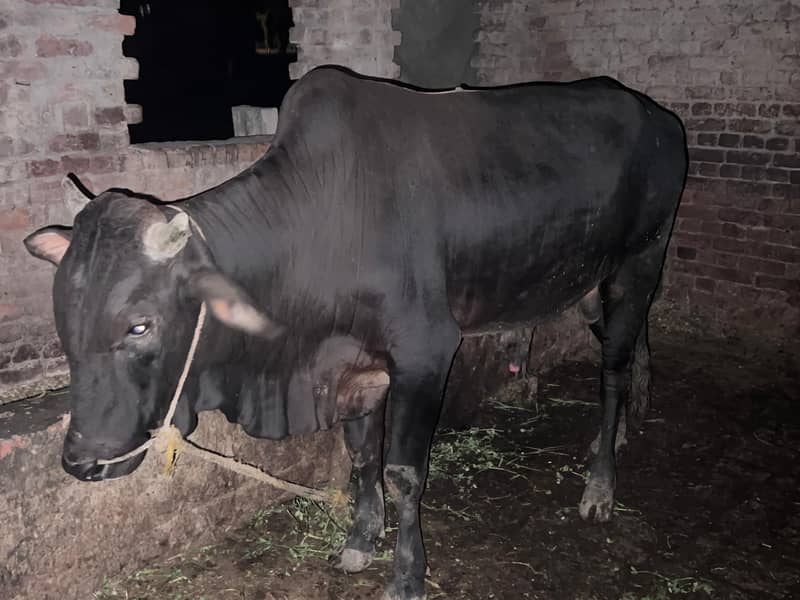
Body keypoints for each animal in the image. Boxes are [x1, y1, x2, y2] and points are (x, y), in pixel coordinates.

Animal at [24, 66, 687, 600]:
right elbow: (362, 453)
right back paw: (629, 420)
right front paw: (361, 539)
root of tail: (658, 115)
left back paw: (600, 483)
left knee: (612, 370)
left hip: (638, 265)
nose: (80, 462)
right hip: (585, 285)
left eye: (140, 324)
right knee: (632, 348)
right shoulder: (355, 365)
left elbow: (403, 472)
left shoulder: (425, 353)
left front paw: (407, 575)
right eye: (64, 318)